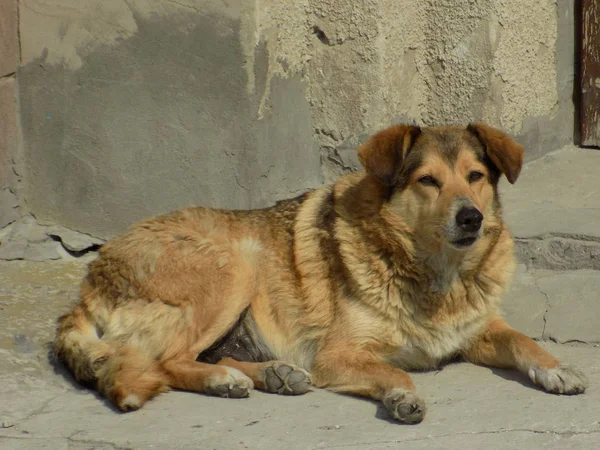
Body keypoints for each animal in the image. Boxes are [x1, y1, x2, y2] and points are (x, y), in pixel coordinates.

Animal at [54, 124, 588, 426]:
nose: (472, 218)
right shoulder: (339, 355)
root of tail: (93, 273)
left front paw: (558, 368)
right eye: (427, 181)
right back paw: (224, 380)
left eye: (476, 176)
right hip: (235, 266)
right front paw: (402, 395)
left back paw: (271, 374)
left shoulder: (480, 329)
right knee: (160, 362)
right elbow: (393, 369)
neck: (436, 272)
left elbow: (524, 341)